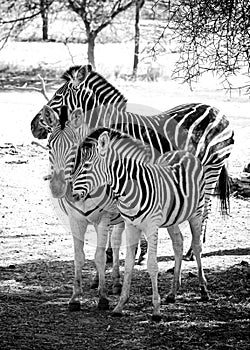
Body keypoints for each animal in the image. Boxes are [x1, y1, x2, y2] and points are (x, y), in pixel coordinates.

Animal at [30, 63, 234, 262]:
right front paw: (124, 251)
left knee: (205, 207)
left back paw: (192, 251)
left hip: (212, 167)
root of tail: (217, 110)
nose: (33, 126)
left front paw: (129, 251)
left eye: (57, 96)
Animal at [44, 104, 125, 312]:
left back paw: (116, 283)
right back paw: (97, 280)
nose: (57, 188)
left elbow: (100, 256)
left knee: (116, 243)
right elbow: (80, 257)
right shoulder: (75, 220)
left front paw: (103, 298)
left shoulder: (103, 219)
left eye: (74, 147)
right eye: (49, 146)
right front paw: (75, 297)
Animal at [70, 127, 207, 322]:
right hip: (171, 218)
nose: (73, 196)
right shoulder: (131, 225)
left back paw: (203, 290)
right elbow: (128, 265)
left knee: (196, 246)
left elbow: (152, 265)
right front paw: (120, 305)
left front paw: (156, 310)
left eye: (87, 166)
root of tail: (184, 152)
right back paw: (173, 292)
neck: (129, 188)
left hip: (197, 212)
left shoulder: (151, 226)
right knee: (178, 244)